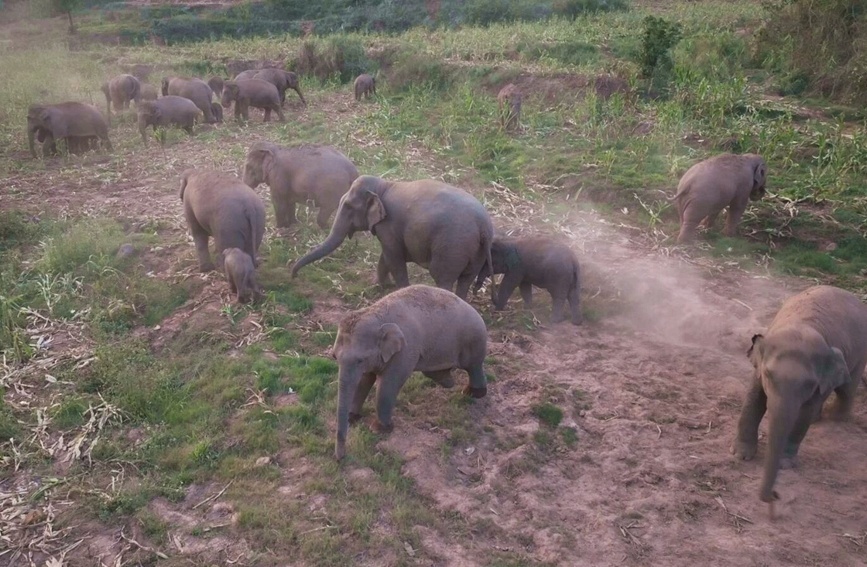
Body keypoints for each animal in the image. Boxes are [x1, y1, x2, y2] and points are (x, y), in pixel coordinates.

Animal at [292, 175, 496, 302]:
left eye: (348, 206)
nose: (294, 276)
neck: (384, 185)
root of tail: (483, 227)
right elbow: (386, 257)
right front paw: (385, 286)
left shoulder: (388, 224)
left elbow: (393, 257)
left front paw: (399, 290)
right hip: (476, 253)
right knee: (465, 281)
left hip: (452, 247)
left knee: (442, 278)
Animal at [332, 284, 488, 462]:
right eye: (334, 356)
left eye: (360, 360)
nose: (340, 458)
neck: (376, 313)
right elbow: (364, 381)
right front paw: (353, 417)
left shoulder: (405, 351)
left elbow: (388, 385)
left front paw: (378, 429)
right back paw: (449, 382)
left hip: (474, 341)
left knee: (473, 366)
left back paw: (472, 393)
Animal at [732, 286, 867, 516]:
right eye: (768, 375)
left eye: (809, 383)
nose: (775, 496)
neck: (803, 325)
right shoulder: (758, 371)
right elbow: (754, 400)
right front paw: (741, 456)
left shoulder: (820, 379)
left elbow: (803, 415)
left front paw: (786, 464)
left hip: (859, 355)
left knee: (846, 390)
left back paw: (834, 418)